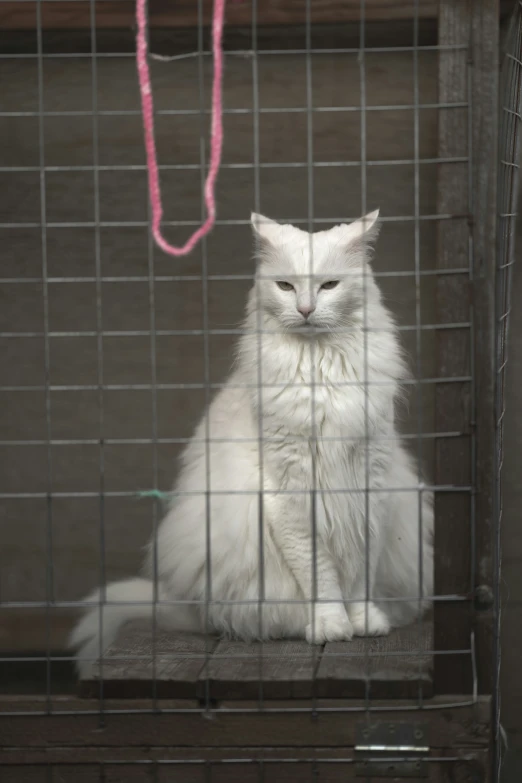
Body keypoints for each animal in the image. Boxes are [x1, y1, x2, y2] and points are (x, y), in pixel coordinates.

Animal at [71, 211, 432, 676]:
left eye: (329, 285)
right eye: (286, 286)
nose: (305, 309)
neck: (320, 373)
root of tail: (190, 609)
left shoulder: (369, 488)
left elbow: (358, 572)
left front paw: (364, 621)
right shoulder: (291, 496)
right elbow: (322, 575)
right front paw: (332, 626)